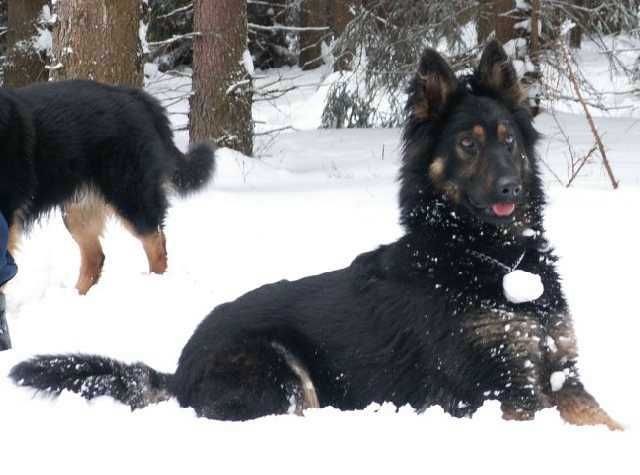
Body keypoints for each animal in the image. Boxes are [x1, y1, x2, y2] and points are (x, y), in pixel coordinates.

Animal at [0, 79, 215, 294]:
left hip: (129, 194)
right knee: (96, 257)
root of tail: (137, 96)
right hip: (78, 210)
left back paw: (156, 284)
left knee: (156, 243)